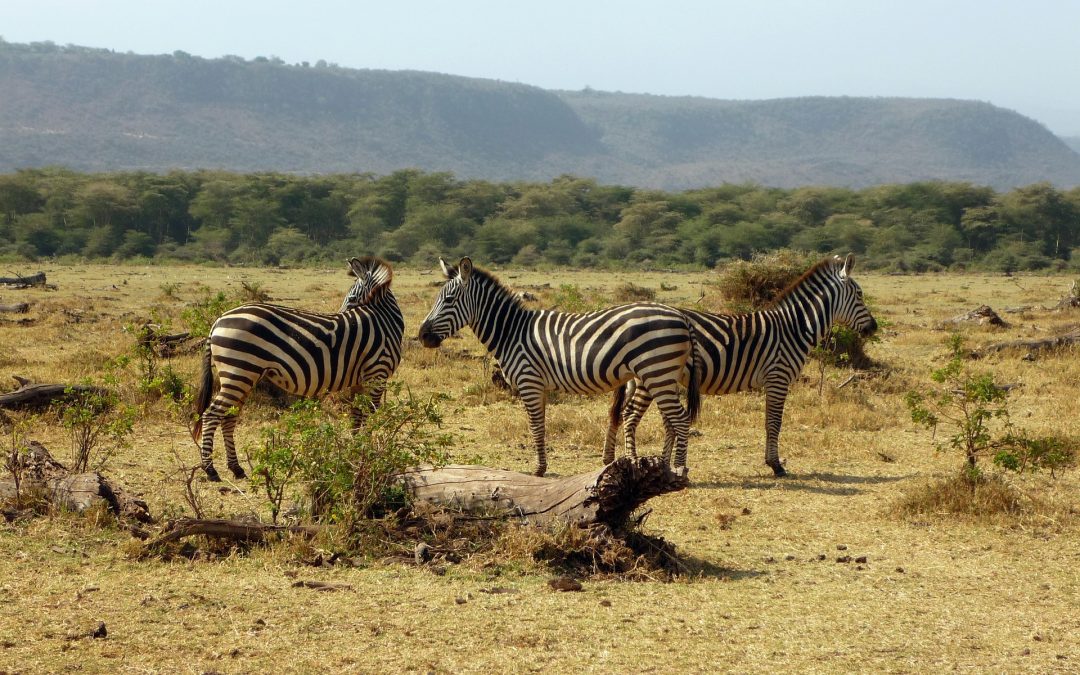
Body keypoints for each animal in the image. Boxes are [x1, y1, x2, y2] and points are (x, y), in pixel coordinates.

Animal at [192, 254, 403, 481]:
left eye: (352, 298)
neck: (384, 320)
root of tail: (218, 320)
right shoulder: (378, 373)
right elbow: (370, 415)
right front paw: (369, 453)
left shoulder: (361, 380)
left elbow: (356, 417)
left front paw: (356, 452)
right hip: (239, 373)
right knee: (211, 415)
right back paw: (210, 470)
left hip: (242, 376)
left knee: (229, 418)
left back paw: (236, 468)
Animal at [416, 254, 704, 477]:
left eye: (449, 300)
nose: (422, 336)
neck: (512, 331)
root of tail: (681, 315)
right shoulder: (539, 386)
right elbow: (541, 426)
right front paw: (542, 466)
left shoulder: (529, 381)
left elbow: (535, 426)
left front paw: (538, 469)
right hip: (662, 375)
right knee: (672, 419)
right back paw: (665, 467)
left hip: (656, 372)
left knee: (680, 419)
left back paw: (679, 470)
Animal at [609, 252, 876, 473]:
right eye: (860, 295)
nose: (873, 328)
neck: (793, 328)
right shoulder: (778, 377)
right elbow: (774, 422)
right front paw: (776, 465)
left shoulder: (774, 380)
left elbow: (770, 421)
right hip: (652, 374)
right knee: (631, 415)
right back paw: (633, 462)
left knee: (630, 414)